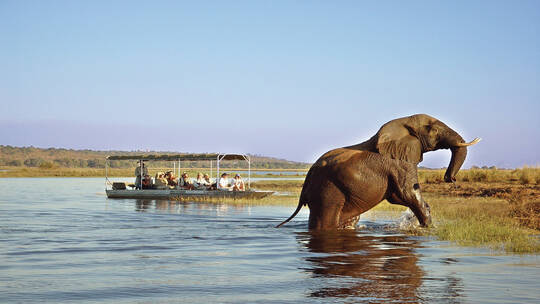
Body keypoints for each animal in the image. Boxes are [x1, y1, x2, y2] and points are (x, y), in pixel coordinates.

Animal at [276, 114, 478, 230]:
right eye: (434, 130)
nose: (450, 178)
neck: (402, 123)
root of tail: (307, 179)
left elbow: (397, 196)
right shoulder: (399, 162)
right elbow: (407, 193)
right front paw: (427, 227)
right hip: (326, 191)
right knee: (326, 221)